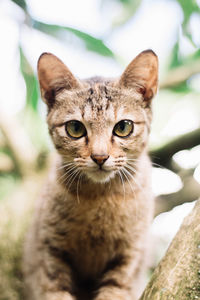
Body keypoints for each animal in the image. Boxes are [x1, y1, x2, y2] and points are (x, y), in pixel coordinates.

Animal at [23, 49, 158, 300]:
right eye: (75, 128)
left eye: (123, 127)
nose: (99, 156)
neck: (99, 197)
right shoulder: (48, 251)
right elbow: (54, 290)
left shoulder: (131, 256)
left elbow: (116, 290)